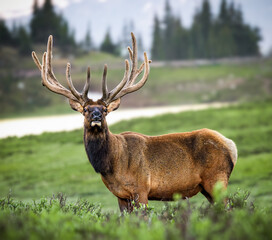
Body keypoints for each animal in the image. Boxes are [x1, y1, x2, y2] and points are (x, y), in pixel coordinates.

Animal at [31, 32, 237, 212]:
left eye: (105, 110)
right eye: (85, 110)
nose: (97, 117)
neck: (111, 164)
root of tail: (231, 146)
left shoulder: (142, 188)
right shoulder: (121, 195)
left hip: (216, 178)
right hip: (207, 188)